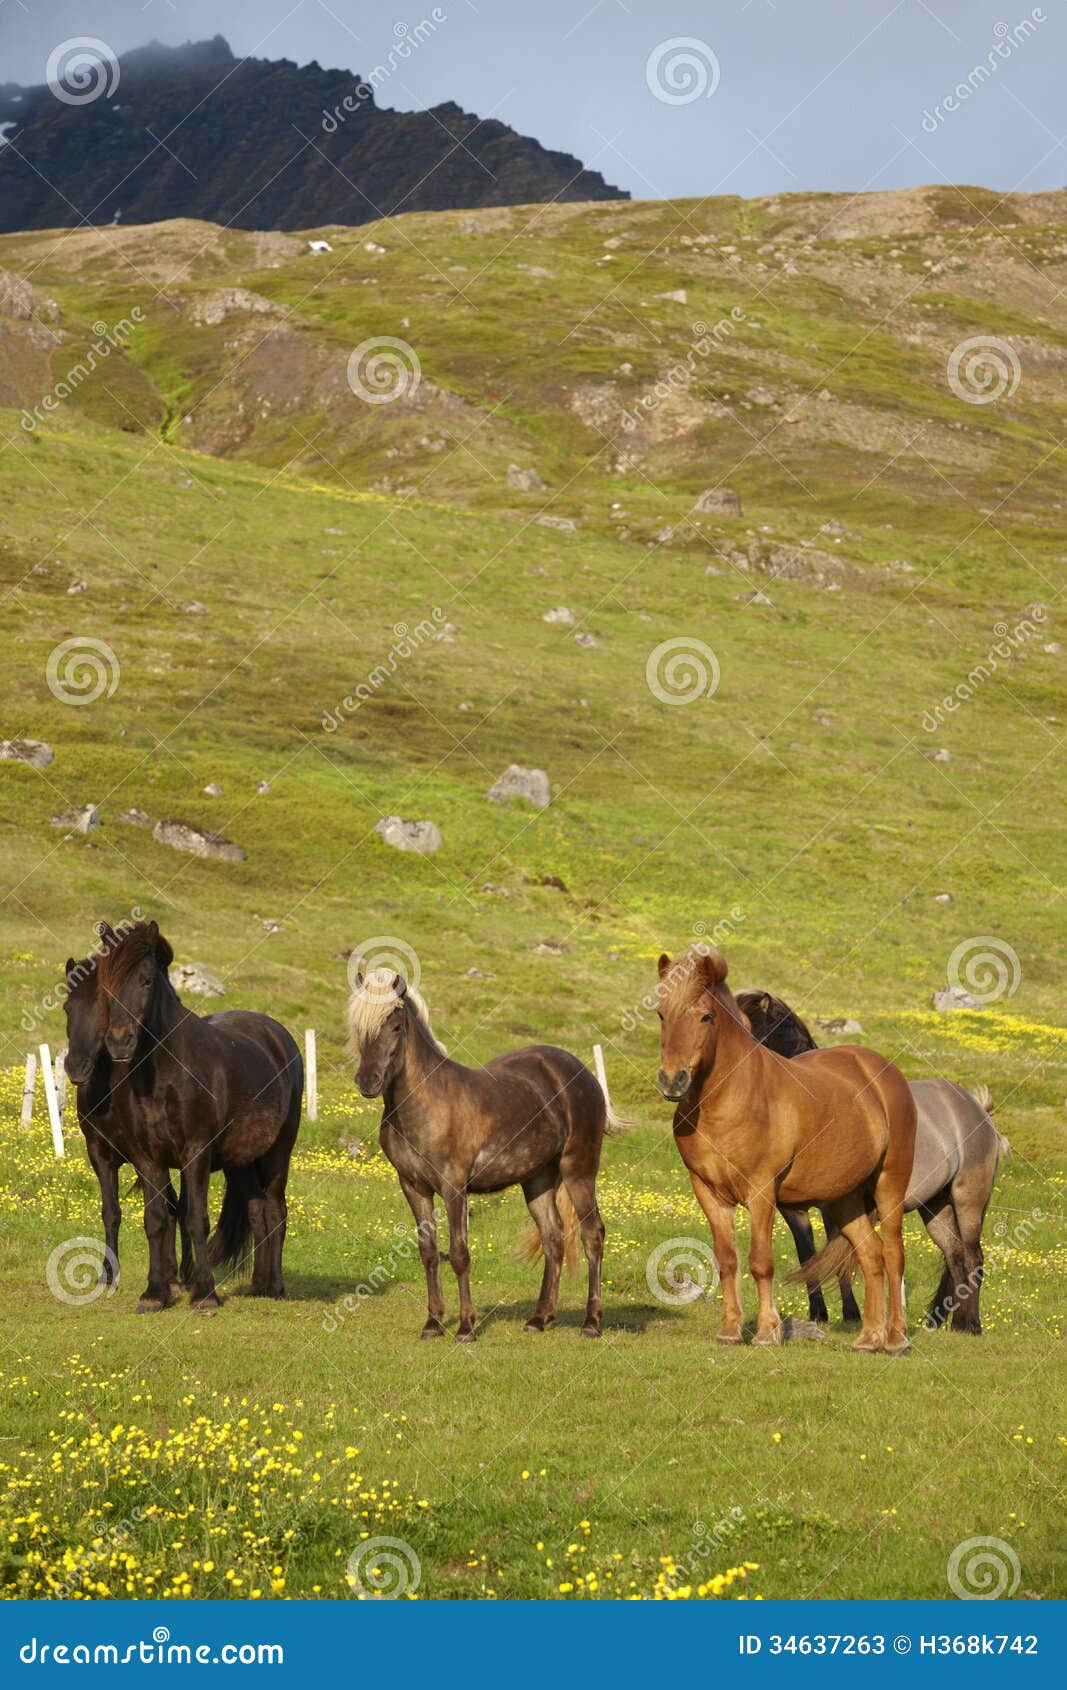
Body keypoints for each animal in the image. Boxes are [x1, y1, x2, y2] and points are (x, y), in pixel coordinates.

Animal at [90, 920, 303, 1312]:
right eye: (105, 984)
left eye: (145, 980)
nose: (119, 1042)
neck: (165, 1073)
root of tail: (278, 1035)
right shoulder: (148, 1158)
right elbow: (157, 1220)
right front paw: (155, 1293)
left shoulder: (197, 1153)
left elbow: (195, 1220)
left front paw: (204, 1294)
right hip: (240, 1161)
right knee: (258, 1211)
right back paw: (259, 1284)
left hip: (279, 1152)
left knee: (277, 1210)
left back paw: (277, 1287)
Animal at [347, 967, 614, 1341]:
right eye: (359, 1026)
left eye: (396, 1026)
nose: (367, 1081)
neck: (426, 1104)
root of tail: (585, 1075)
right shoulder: (413, 1187)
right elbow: (429, 1252)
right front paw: (433, 1323)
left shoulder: (453, 1187)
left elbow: (459, 1254)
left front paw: (465, 1327)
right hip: (538, 1180)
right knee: (553, 1238)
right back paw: (539, 1318)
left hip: (579, 1172)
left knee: (592, 1235)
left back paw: (591, 1322)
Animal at [656, 947, 916, 1353]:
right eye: (661, 1014)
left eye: (705, 1016)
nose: (672, 1080)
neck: (731, 1100)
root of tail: (884, 1072)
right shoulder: (708, 1192)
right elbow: (727, 1259)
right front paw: (730, 1330)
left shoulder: (762, 1192)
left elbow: (760, 1262)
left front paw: (767, 1332)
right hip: (844, 1200)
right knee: (870, 1255)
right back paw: (867, 1337)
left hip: (890, 1185)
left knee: (892, 1255)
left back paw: (895, 1339)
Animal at [737, 989, 1006, 1334]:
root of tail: (978, 1111)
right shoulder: (792, 1209)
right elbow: (808, 1253)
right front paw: (818, 1312)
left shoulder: (836, 1206)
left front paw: (851, 1313)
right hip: (935, 1205)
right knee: (955, 1255)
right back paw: (945, 1322)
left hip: (968, 1199)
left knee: (973, 1257)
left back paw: (970, 1324)